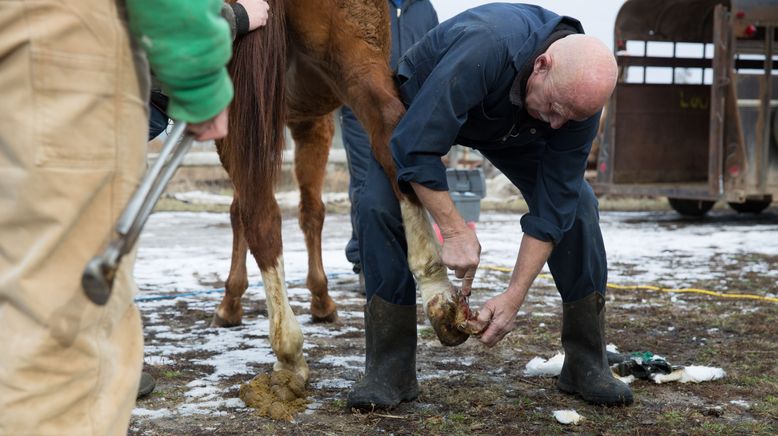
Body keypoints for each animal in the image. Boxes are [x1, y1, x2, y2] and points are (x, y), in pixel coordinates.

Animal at [211, 0, 466, 384]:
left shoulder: (308, 122)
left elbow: (291, 211)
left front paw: (235, 302)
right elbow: (305, 210)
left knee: (258, 212)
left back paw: (288, 348)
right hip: (357, 58)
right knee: (392, 131)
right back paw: (438, 291)